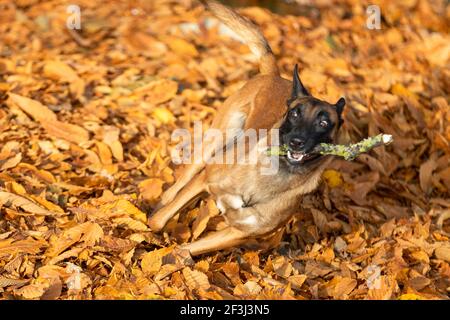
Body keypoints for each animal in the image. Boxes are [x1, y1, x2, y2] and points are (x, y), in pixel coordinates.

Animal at [148, 0, 344, 255]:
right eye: (294, 113)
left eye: (323, 123)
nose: (296, 141)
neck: (273, 176)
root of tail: (275, 75)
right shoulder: (204, 180)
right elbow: (158, 221)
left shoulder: (237, 234)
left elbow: (184, 251)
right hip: (216, 141)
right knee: (178, 185)